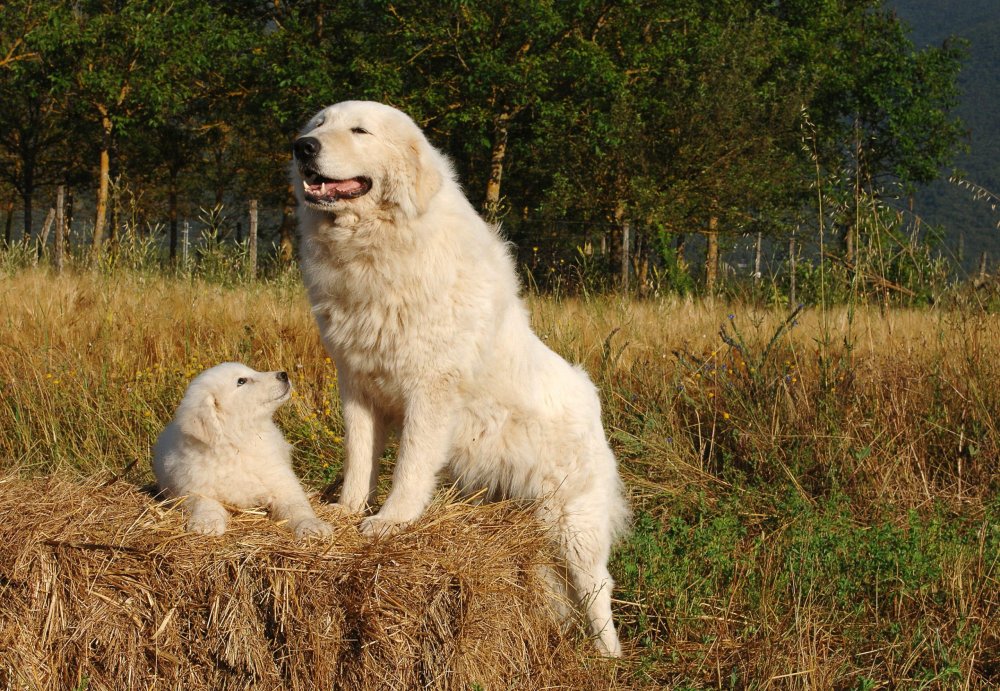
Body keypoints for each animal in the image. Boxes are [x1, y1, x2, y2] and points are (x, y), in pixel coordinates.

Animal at [152, 362, 332, 540]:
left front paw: (311, 525)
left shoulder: (282, 483)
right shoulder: (194, 488)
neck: (238, 443)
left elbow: (297, 507)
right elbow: (205, 504)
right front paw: (206, 523)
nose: (283, 374)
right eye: (241, 381)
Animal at [292, 100, 628, 656]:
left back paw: (609, 660)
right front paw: (345, 510)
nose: (302, 147)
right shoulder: (357, 385)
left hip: (574, 526)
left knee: (598, 590)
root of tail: (592, 400)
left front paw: (390, 522)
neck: (381, 245)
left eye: (359, 130)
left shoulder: (429, 390)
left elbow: (410, 467)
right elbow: (360, 457)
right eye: (318, 124)